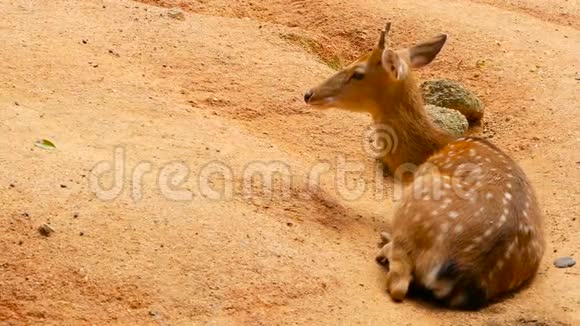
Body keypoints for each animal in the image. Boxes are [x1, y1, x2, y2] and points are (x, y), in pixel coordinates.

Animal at [304, 22, 544, 308]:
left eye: (358, 73)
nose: (309, 93)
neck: (430, 150)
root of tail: (462, 273)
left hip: (417, 202)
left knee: (398, 284)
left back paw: (384, 245)